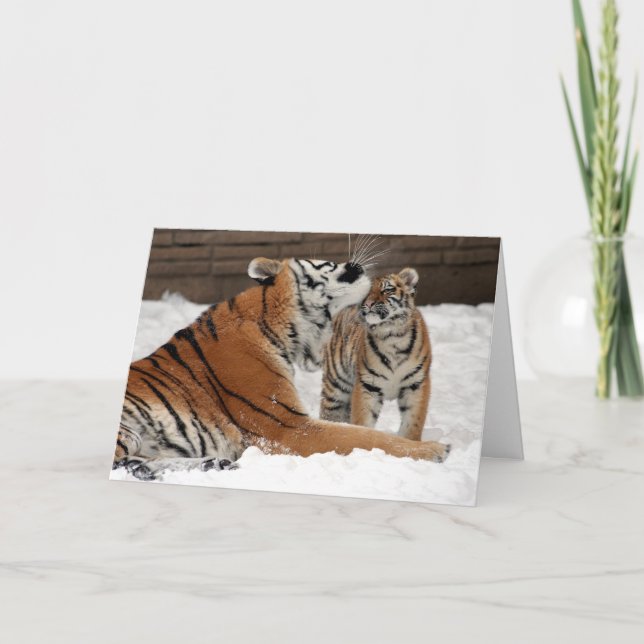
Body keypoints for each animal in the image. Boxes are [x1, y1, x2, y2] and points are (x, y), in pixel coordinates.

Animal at [319, 267, 435, 442]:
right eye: (366, 293)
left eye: (387, 290)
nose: (368, 304)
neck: (391, 336)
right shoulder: (368, 385)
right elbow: (363, 421)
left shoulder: (416, 384)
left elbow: (412, 423)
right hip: (336, 385)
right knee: (329, 414)